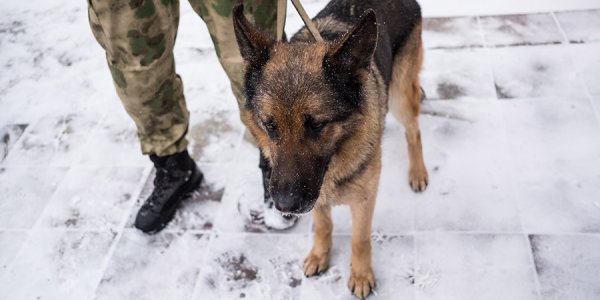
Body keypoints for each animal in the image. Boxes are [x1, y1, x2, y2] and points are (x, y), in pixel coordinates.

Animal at [232, 0, 424, 298]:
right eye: (269, 125)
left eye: (317, 124)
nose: (285, 205)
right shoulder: (316, 197)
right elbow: (323, 226)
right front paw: (320, 256)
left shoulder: (364, 200)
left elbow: (360, 239)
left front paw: (361, 274)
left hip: (400, 95)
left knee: (413, 130)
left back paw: (418, 172)